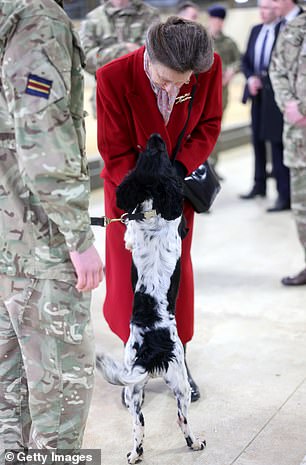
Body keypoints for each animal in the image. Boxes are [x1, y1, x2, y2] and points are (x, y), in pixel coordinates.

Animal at [97, 132, 204, 462]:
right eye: (160, 154)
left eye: (146, 154)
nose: (156, 136)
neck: (152, 207)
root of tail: (153, 350)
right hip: (180, 382)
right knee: (183, 419)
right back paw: (196, 442)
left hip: (134, 390)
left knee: (139, 425)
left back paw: (135, 453)